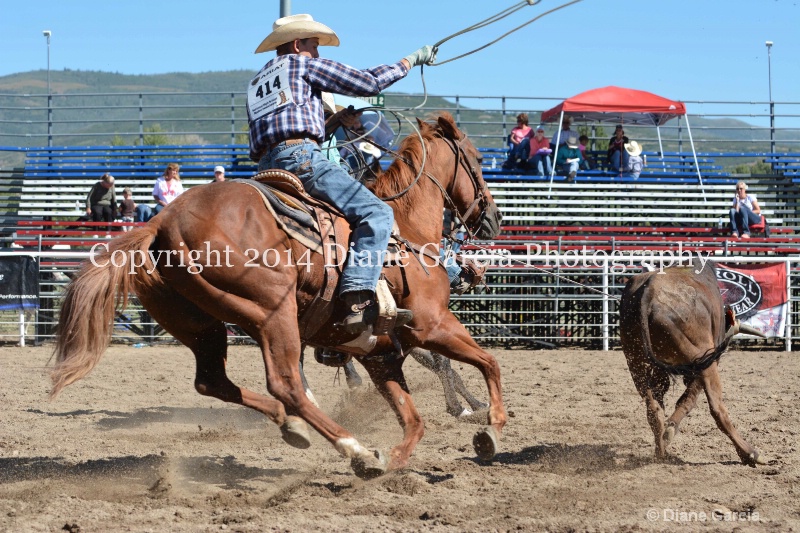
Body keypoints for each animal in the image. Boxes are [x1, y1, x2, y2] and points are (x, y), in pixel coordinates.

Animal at [50, 113, 504, 478]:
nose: (493, 220)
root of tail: (161, 223)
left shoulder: (382, 354)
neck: (407, 231)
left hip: (201, 326)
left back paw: (295, 427)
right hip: (274, 313)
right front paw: (491, 427)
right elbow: (488, 362)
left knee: (214, 381)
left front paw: (400, 457)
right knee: (286, 384)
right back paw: (354, 448)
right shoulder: (432, 325)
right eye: (479, 160)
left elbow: (414, 419)